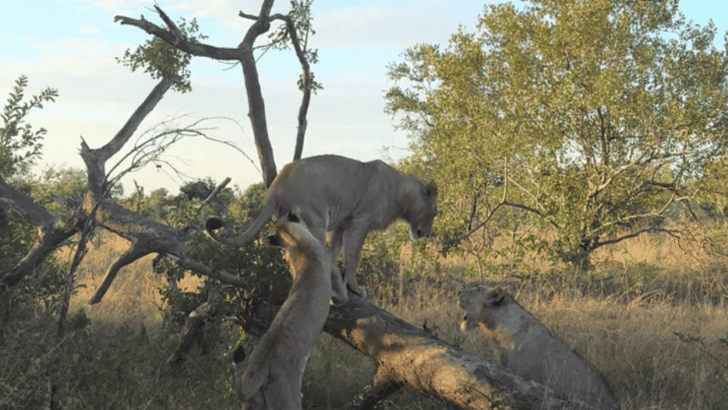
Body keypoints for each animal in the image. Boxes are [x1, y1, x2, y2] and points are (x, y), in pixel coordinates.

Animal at [207, 154, 438, 302]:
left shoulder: (342, 224)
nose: (426, 233)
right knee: (312, 253)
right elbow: (352, 258)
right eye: (434, 213)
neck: (401, 195)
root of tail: (274, 189)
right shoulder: (358, 223)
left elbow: (336, 251)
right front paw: (354, 288)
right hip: (317, 220)